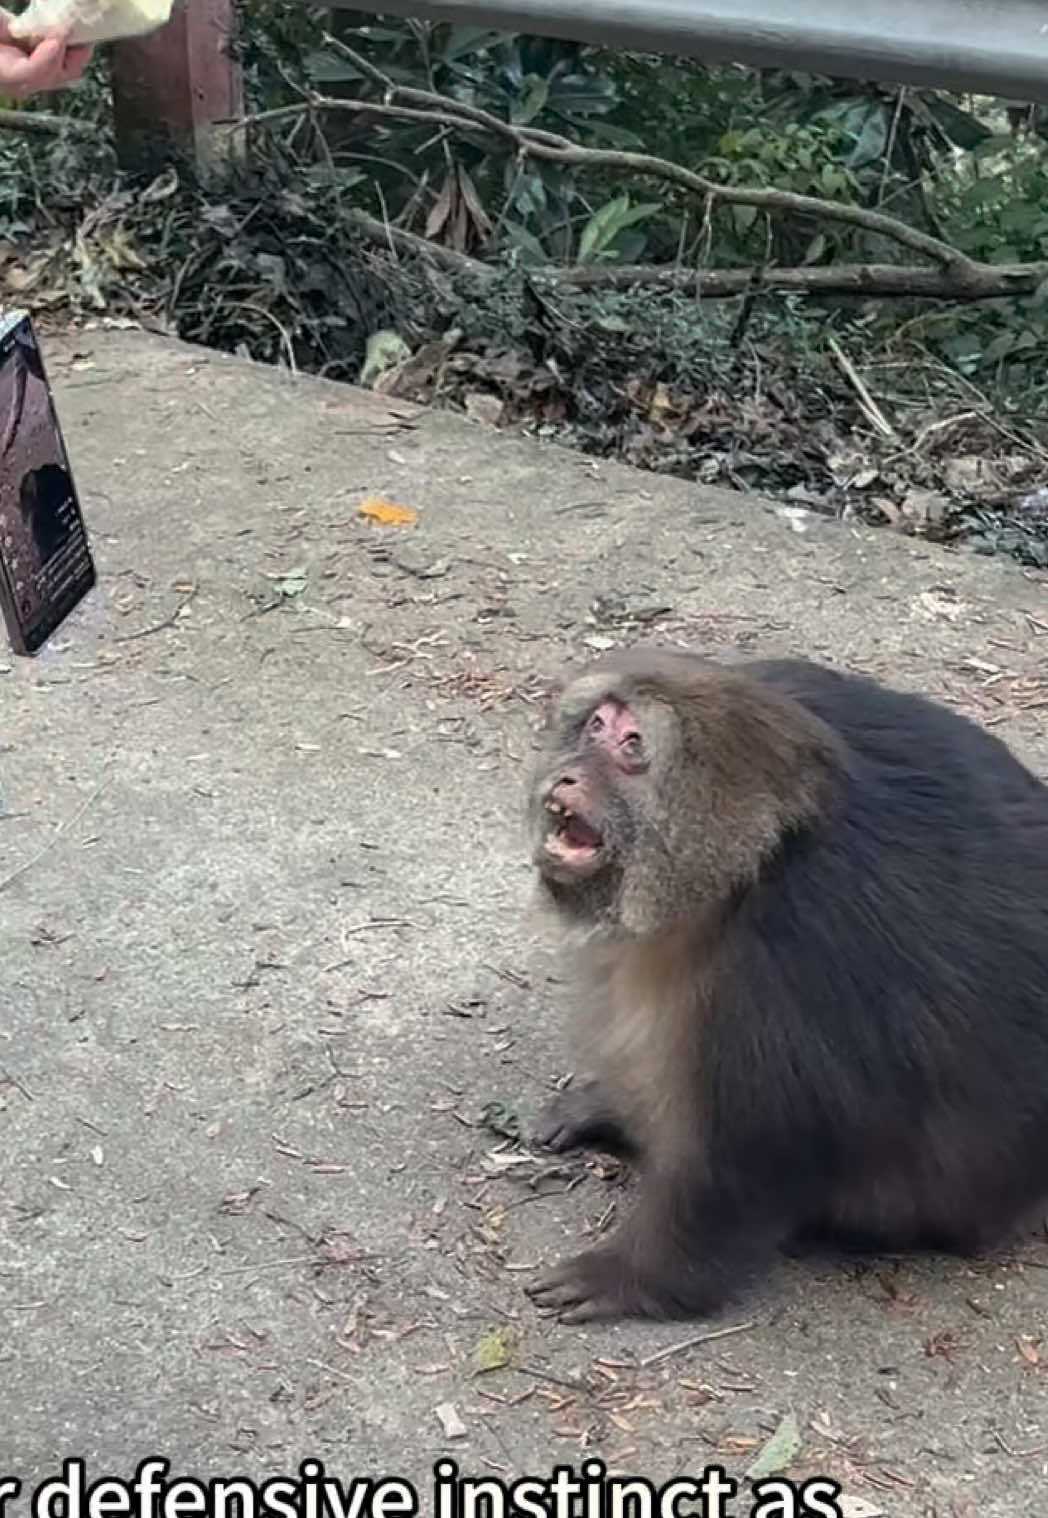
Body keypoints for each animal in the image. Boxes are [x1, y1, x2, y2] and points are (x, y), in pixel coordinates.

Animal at [523, 647, 1048, 1324]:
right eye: (595, 727)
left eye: (631, 745)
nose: (566, 779)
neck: (747, 874)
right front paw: (608, 1106)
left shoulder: (794, 954)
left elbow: (764, 1141)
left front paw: (635, 1276)